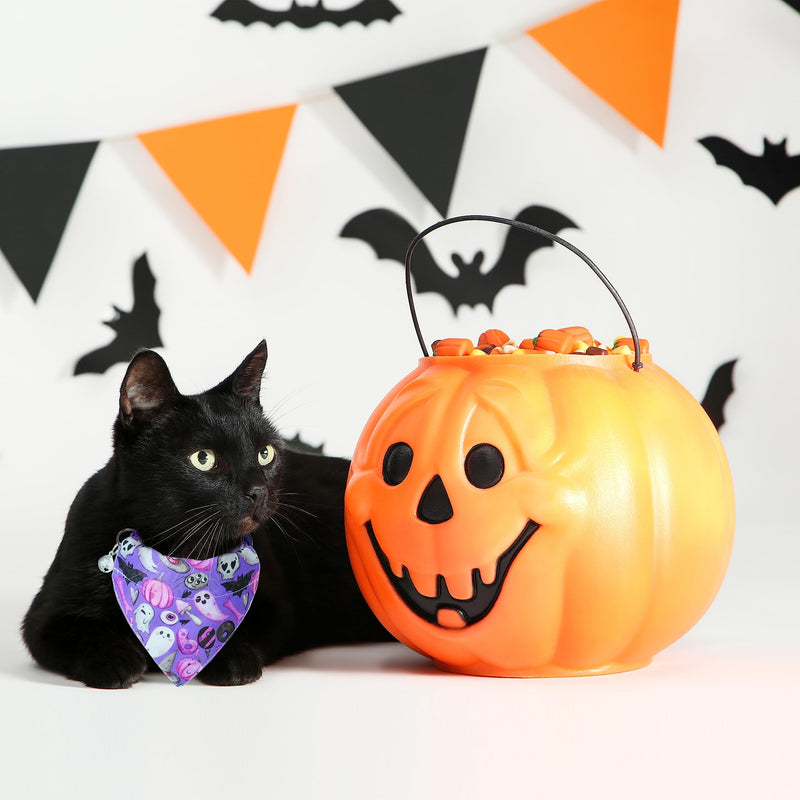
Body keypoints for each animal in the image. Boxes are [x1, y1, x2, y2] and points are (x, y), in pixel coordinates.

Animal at [20, 340, 390, 684]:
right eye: (203, 458)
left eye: (266, 453)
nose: (259, 491)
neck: (177, 550)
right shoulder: (44, 617)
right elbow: (77, 633)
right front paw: (115, 659)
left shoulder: (276, 606)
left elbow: (242, 627)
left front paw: (229, 657)